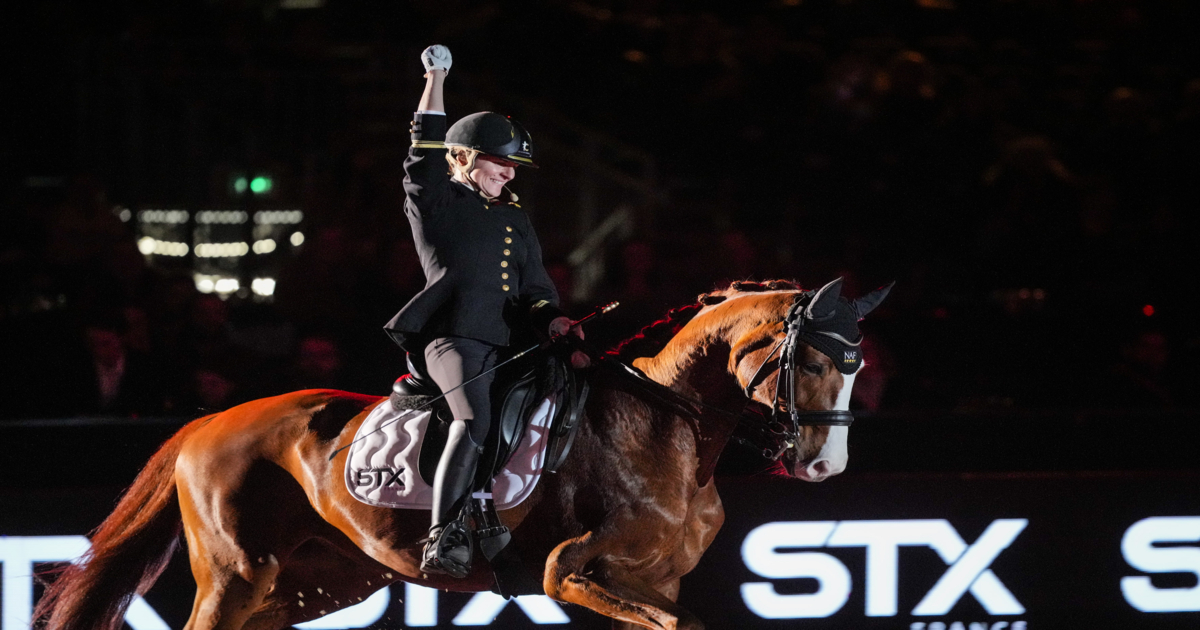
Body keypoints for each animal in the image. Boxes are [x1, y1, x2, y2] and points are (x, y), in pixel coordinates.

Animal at [35, 277, 890, 630]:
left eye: (858, 365)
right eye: (816, 361)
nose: (824, 468)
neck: (673, 433)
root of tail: (209, 421)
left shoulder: (656, 583)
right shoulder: (570, 571)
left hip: (329, 579)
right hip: (238, 570)